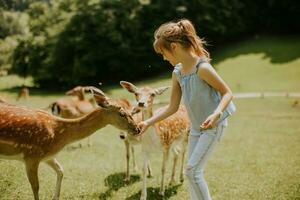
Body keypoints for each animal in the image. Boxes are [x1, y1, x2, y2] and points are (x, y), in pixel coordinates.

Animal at [0, 91, 140, 200]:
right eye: (122, 113)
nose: (137, 129)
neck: (57, 135)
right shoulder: (31, 156)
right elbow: (36, 187)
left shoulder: (47, 156)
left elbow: (61, 171)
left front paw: (55, 197)